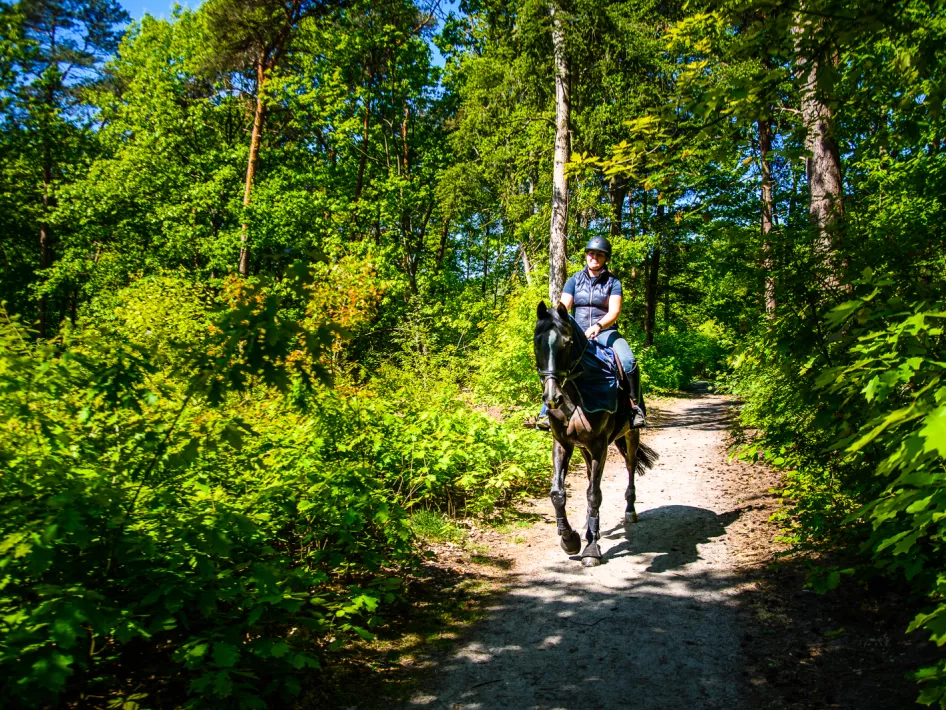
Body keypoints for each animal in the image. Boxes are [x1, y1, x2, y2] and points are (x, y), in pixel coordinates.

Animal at [534, 301, 657, 567]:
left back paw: (629, 512)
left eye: (568, 342)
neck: (578, 392)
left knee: (630, 467)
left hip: (630, 437)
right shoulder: (563, 444)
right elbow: (558, 493)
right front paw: (570, 540)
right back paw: (590, 527)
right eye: (537, 342)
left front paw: (591, 549)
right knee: (591, 475)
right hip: (584, 449)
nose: (552, 398)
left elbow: (594, 495)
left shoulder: (600, 446)